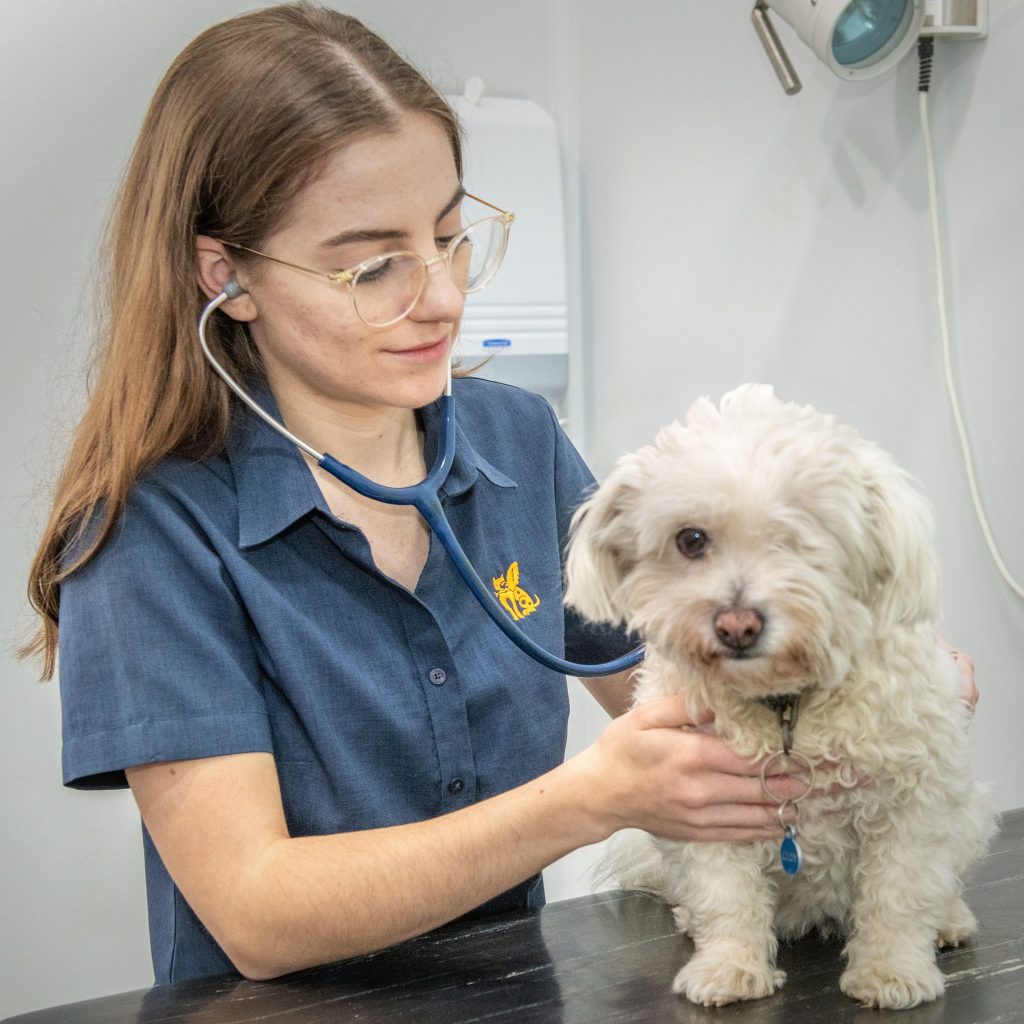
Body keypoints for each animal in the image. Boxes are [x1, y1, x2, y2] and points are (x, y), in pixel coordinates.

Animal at [565, 385, 995, 1007]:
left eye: (799, 536)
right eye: (691, 539)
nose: (737, 625)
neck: (786, 708)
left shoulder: (915, 802)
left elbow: (899, 893)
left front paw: (891, 972)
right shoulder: (703, 812)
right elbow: (725, 896)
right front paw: (728, 967)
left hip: (969, 812)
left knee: (943, 883)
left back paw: (949, 921)